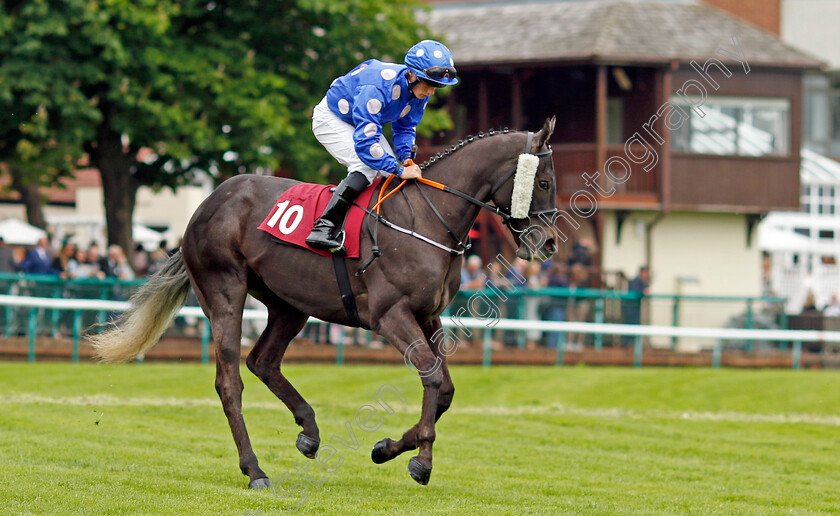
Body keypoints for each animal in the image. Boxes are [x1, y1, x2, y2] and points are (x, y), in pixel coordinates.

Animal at [90, 116, 556, 488]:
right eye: (545, 182)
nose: (549, 243)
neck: (427, 219)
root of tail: (207, 204)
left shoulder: (428, 315)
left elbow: (445, 388)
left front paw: (385, 448)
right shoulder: (390, 315)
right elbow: (431, 376)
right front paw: (421, 461)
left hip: (289, 303)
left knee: (262, 361)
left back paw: (309, 432)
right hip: (224, 291)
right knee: (229, 382)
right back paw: (255, 470)